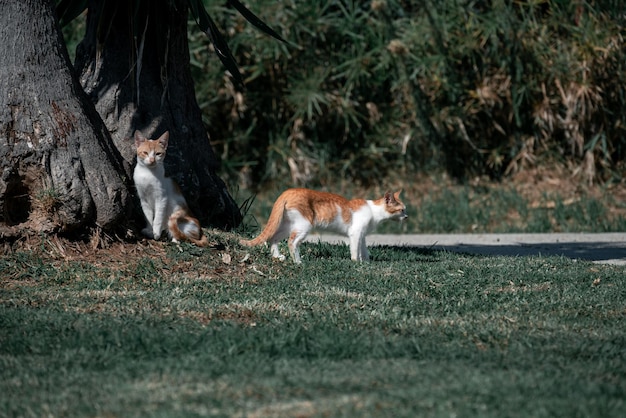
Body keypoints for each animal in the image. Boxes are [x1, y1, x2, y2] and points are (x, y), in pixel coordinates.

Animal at [238, 189, 404, 262]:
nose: (406, 216)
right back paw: (298, 262)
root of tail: (288, 191)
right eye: (402, 210)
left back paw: (278, 256)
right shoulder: (355, 233)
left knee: (273, 238)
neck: (374, 211)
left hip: (287, 225)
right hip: (304, 225)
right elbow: (355, 250)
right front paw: (356, 262)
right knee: (292, 242)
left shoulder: (361, 235)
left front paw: (366, 262)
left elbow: (364, 249)